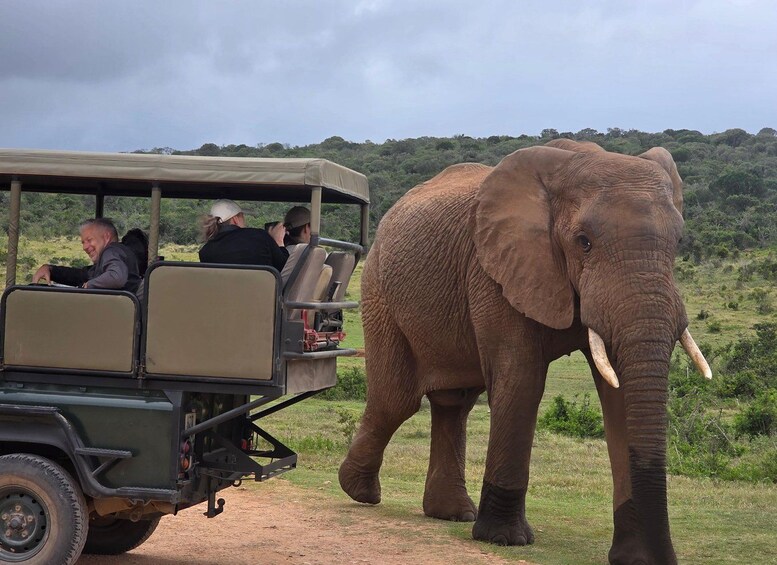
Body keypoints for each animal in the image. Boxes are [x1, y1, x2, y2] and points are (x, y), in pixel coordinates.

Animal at [338, 139, 711, 564]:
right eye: (584, 241)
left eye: (678, 243)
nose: (661, 554)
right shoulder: (494, 269)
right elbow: (521, 381)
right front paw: (504, 538)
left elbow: (618, 396)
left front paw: (639, 559)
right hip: (378, 288)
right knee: (396, 400)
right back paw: (360, 492)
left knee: (454, 404)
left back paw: (451, 513)